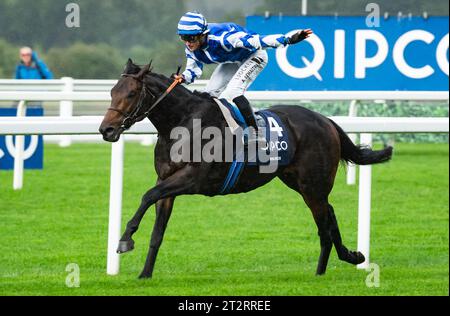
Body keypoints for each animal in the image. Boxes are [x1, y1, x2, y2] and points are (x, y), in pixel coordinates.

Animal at [99, 59, 394, 278]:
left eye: (131, 93)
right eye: (112, 92)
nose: (106, 130)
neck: (182, 122)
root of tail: (325, 119)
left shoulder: (192, 178)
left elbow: (146, 195)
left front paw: (125, 240)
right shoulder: (167, 180)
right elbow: (157, 229)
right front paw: (144, 274)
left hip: (313, 184)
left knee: (325, 221)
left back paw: (335, 264)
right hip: (299, 182)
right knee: (328, 214)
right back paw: (337, 262)